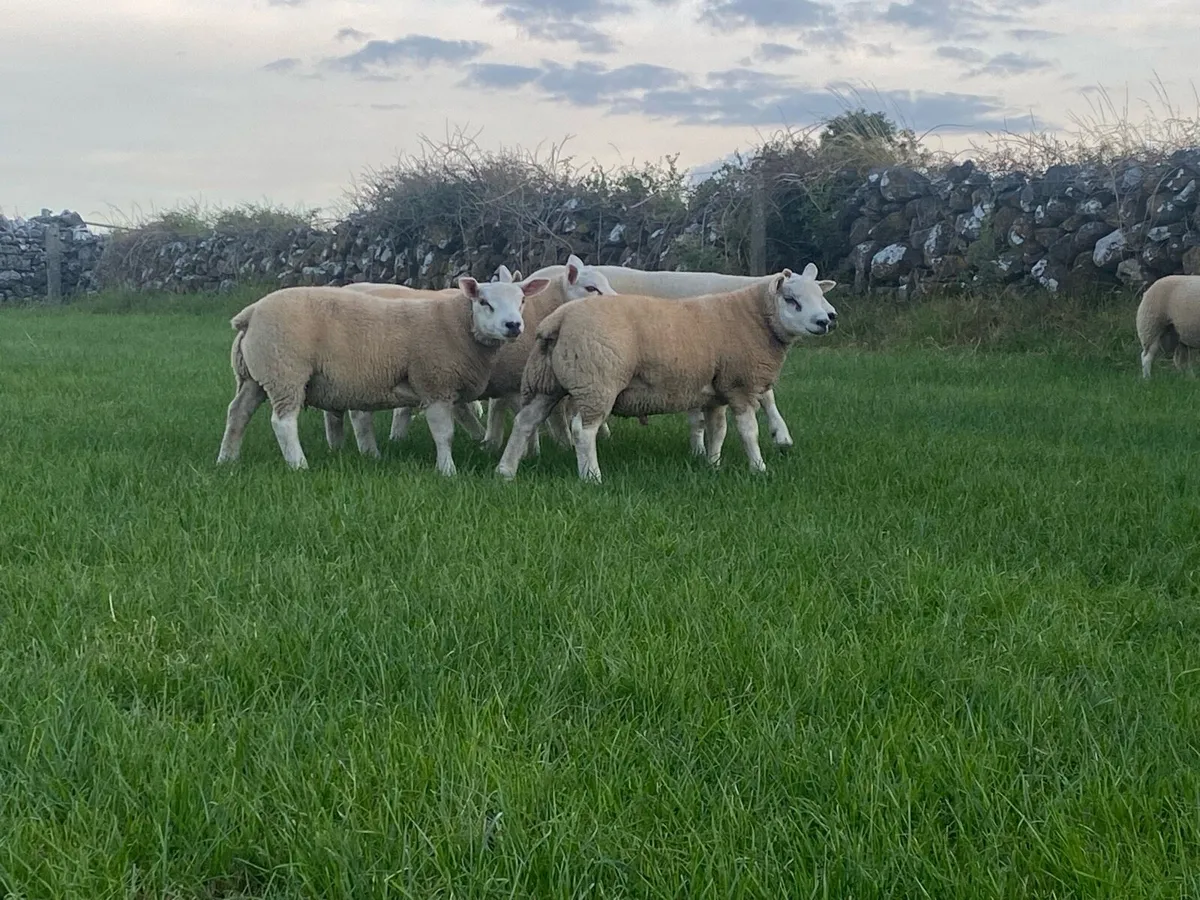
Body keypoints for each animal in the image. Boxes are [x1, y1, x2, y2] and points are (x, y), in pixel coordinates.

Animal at [215, 275, 549, 475]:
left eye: (521, 301)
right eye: (484, 302)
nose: (513, 326)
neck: (454, 323)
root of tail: (250, 313)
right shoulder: (435, 383)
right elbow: (445, 433)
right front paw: (447, 470)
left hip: (256, 376)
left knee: (237, 413)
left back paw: (227, 458)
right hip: (285, 371)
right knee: (283, 422)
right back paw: (299, 465)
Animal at [494, 264, 838, 483]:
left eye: (820, 295)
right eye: (792, 300)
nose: (826, 320)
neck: (751, 315)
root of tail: (559, 318)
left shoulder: (715, 391)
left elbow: (718, 430)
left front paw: (712, 464)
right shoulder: (740, 384)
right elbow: (748, 430)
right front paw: (759, 467)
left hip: (546, 383)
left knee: (525, 422)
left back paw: (506, 471)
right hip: (597, 382)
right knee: (582, 430)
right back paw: (591, 477)